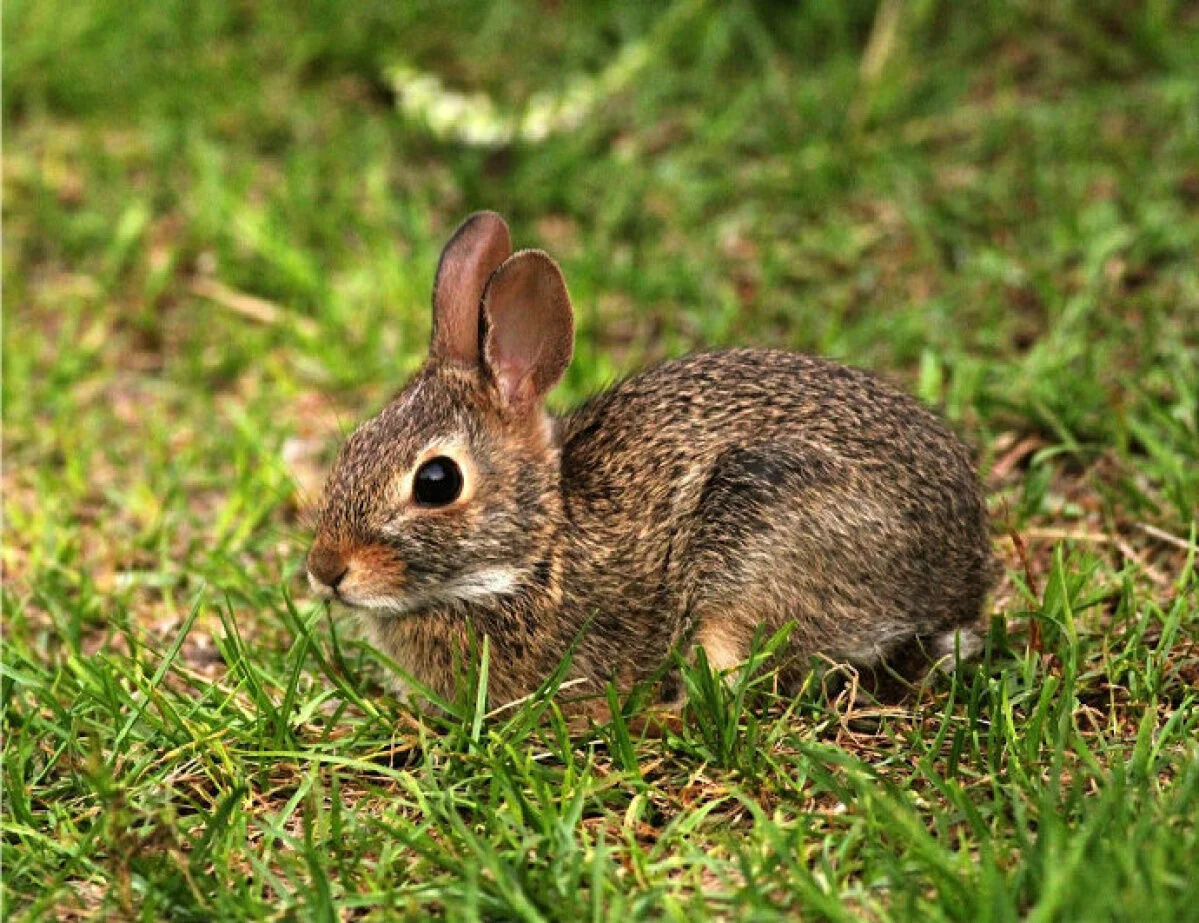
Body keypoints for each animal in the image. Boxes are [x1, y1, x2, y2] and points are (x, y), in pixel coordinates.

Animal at [307, 211, 995, 708]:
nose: (325, 570)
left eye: (437, 481)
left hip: (756, 545)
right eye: (353, 443)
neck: (540, 550)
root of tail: (959, 579)